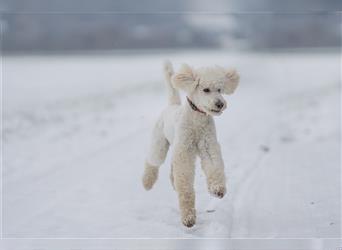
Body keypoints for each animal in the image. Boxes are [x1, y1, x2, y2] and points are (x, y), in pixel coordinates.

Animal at [143, 60, 239, 227]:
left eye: (219, 89)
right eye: (206, 89)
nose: (220, 104)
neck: (197, 120)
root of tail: (172, 105)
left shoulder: (207, 145)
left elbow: (214, 166)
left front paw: (217, 189)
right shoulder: (185, 152)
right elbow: (185, 186)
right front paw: (188, 217)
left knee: (172, 168)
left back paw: (172, 181)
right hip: (160, 143)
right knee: (153, 160)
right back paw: (147, 182)